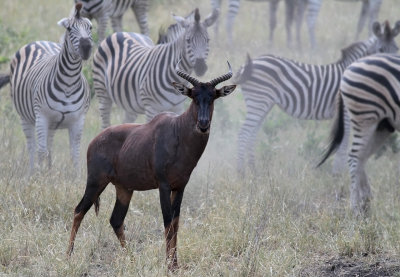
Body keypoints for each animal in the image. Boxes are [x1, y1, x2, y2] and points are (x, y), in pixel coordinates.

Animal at [0, 3, 92, 172]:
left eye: (90, 27)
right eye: (69, 29)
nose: (86, 47)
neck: (69, 83)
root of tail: (39, 41)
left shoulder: (78, 120)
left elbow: (75, 154)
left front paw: (75, 177)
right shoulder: (42, 116)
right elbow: (41, 152)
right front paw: (39, 177)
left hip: (53, 123)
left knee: (49, 145)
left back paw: (48, 171)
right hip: (26, 118)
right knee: (32, 147)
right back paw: (32, 173)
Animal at [234, 20, 400, 175]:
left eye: (397, 49)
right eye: (380, 50)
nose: (392, 73)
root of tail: (247, 65)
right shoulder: (347, 113)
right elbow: (344, 143)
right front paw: (338, 175)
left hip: (265, 104)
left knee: (252, 134)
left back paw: (254, 171)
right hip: (258, 101)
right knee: (243, 133)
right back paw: (241, 173)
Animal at [320, 53, 400, 213]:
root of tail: (349, 68)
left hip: (382, 124)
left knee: (362, 157)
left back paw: (366, 203)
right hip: (365, 116)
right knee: (355, 157)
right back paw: (356, 208)